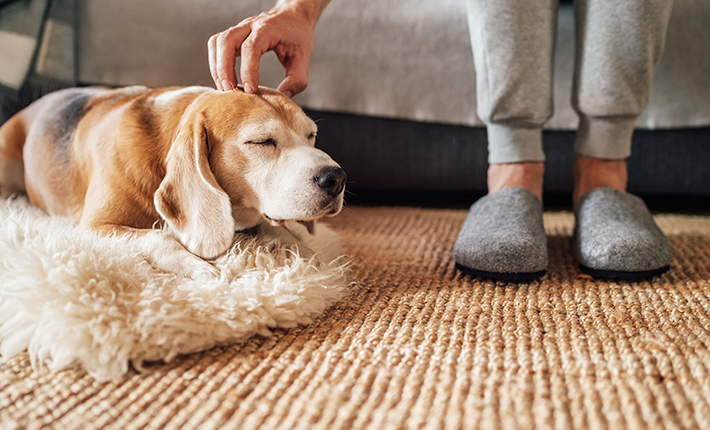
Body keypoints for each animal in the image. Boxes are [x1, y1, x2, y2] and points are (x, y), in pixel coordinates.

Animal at [0, 85, 346, 278]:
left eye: (311, 135)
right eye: (261, 142)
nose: (336, 179)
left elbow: (278, 231)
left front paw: (304, 253)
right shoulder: (95, 226)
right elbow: (158, 237)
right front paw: (198, 267)